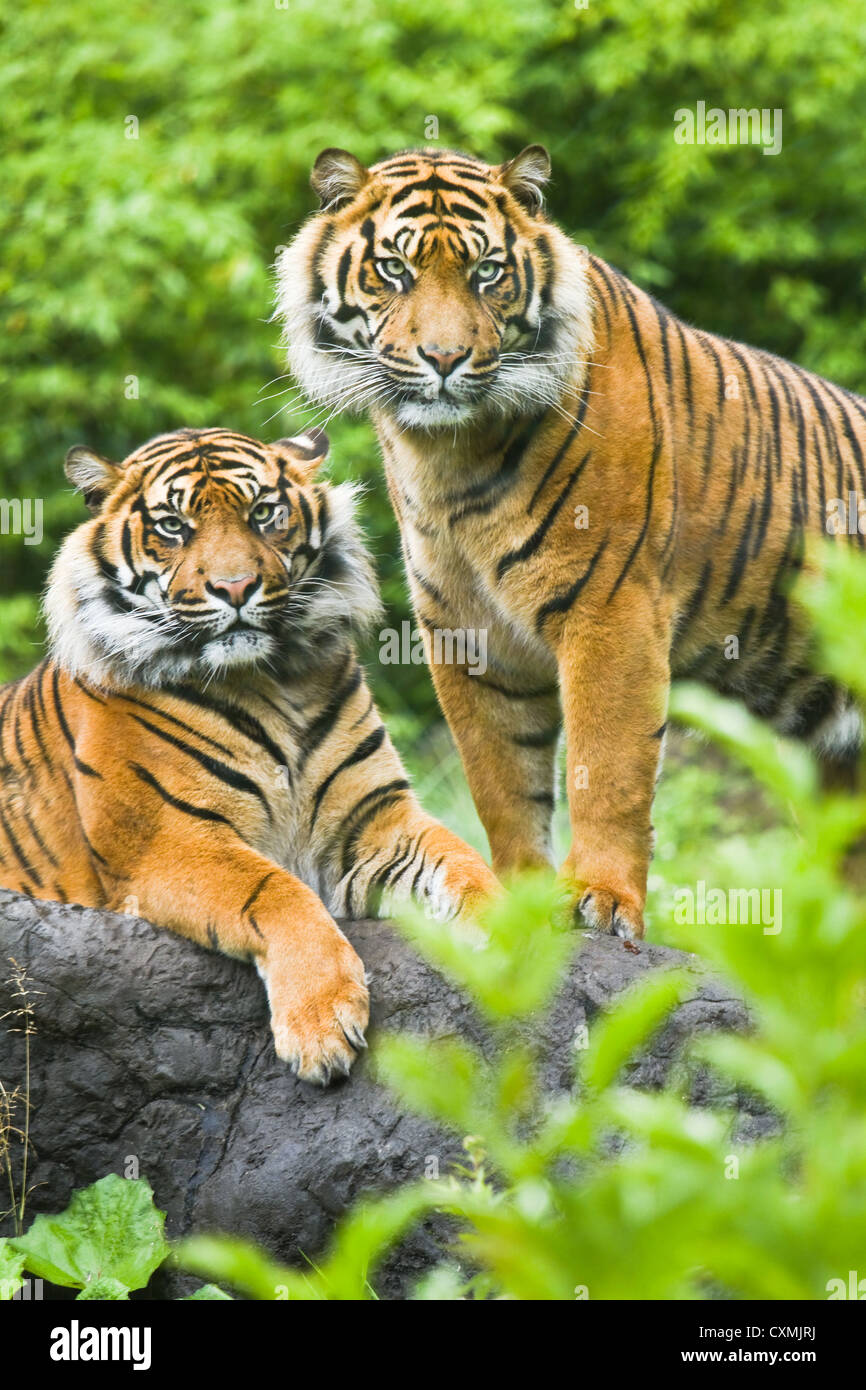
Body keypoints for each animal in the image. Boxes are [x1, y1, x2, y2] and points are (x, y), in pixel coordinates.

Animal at [0, 428, 497, 1078]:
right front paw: (320, 1025)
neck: (270, 680)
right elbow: (277, 893)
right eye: (173, 526)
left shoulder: (373, 820)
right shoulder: (170, 841)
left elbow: (462, 861)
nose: (235, 588)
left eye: (263, 513)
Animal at [278, 143, 866, 945]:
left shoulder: (612, 609)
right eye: (394, 270)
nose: (443, 358)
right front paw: (519, 910)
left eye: (486, 272)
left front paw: (601, 898)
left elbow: (606, 769)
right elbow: (502, 782)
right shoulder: (469, 631)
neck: (450, 456)